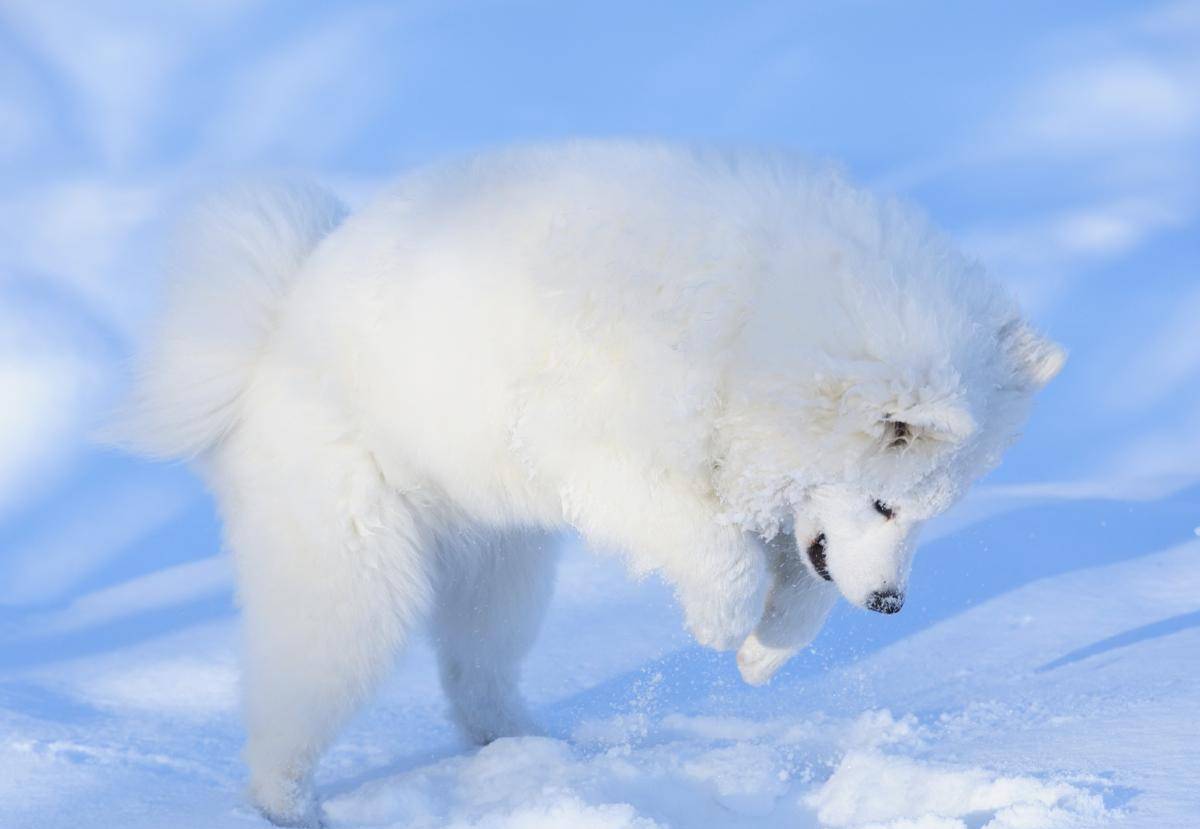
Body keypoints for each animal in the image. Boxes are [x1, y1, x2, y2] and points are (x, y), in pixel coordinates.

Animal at [117, 140, 1065, 825]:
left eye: (930, 514)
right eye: (886, 501)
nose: (893, 607)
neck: (748, 336)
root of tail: (268, 338)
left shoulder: (773, 503)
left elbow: (801, 586)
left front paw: (762, 654)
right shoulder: (609, 457)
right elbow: (724, 556)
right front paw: (722, 624)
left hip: (499, 567)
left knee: (474, 674)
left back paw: (531, 750)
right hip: (358, 572)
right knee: (296, 691)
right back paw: (287, 801)